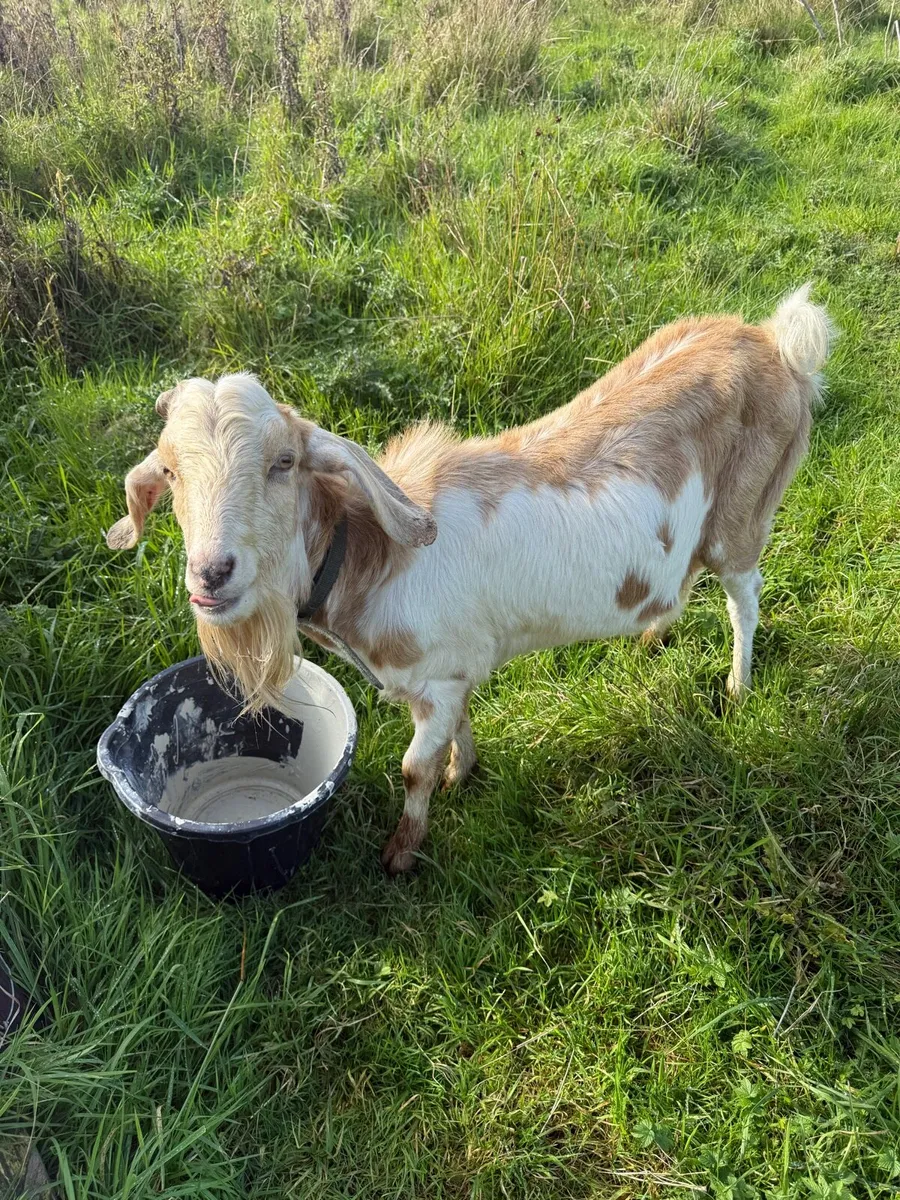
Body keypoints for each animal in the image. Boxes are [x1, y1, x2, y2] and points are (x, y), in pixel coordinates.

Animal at [106, 284, 833, 873]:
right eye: (168, 471)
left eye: (284, 462)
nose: (212, 572)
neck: (370, 556)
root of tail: (777, 343)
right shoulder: (449, 674)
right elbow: (457, 730)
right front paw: (465, 772)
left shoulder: (434, 679)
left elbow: (412, 768)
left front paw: (402, 853)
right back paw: (651, 635)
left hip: (741, 519)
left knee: (745, 599)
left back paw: (739, 686)